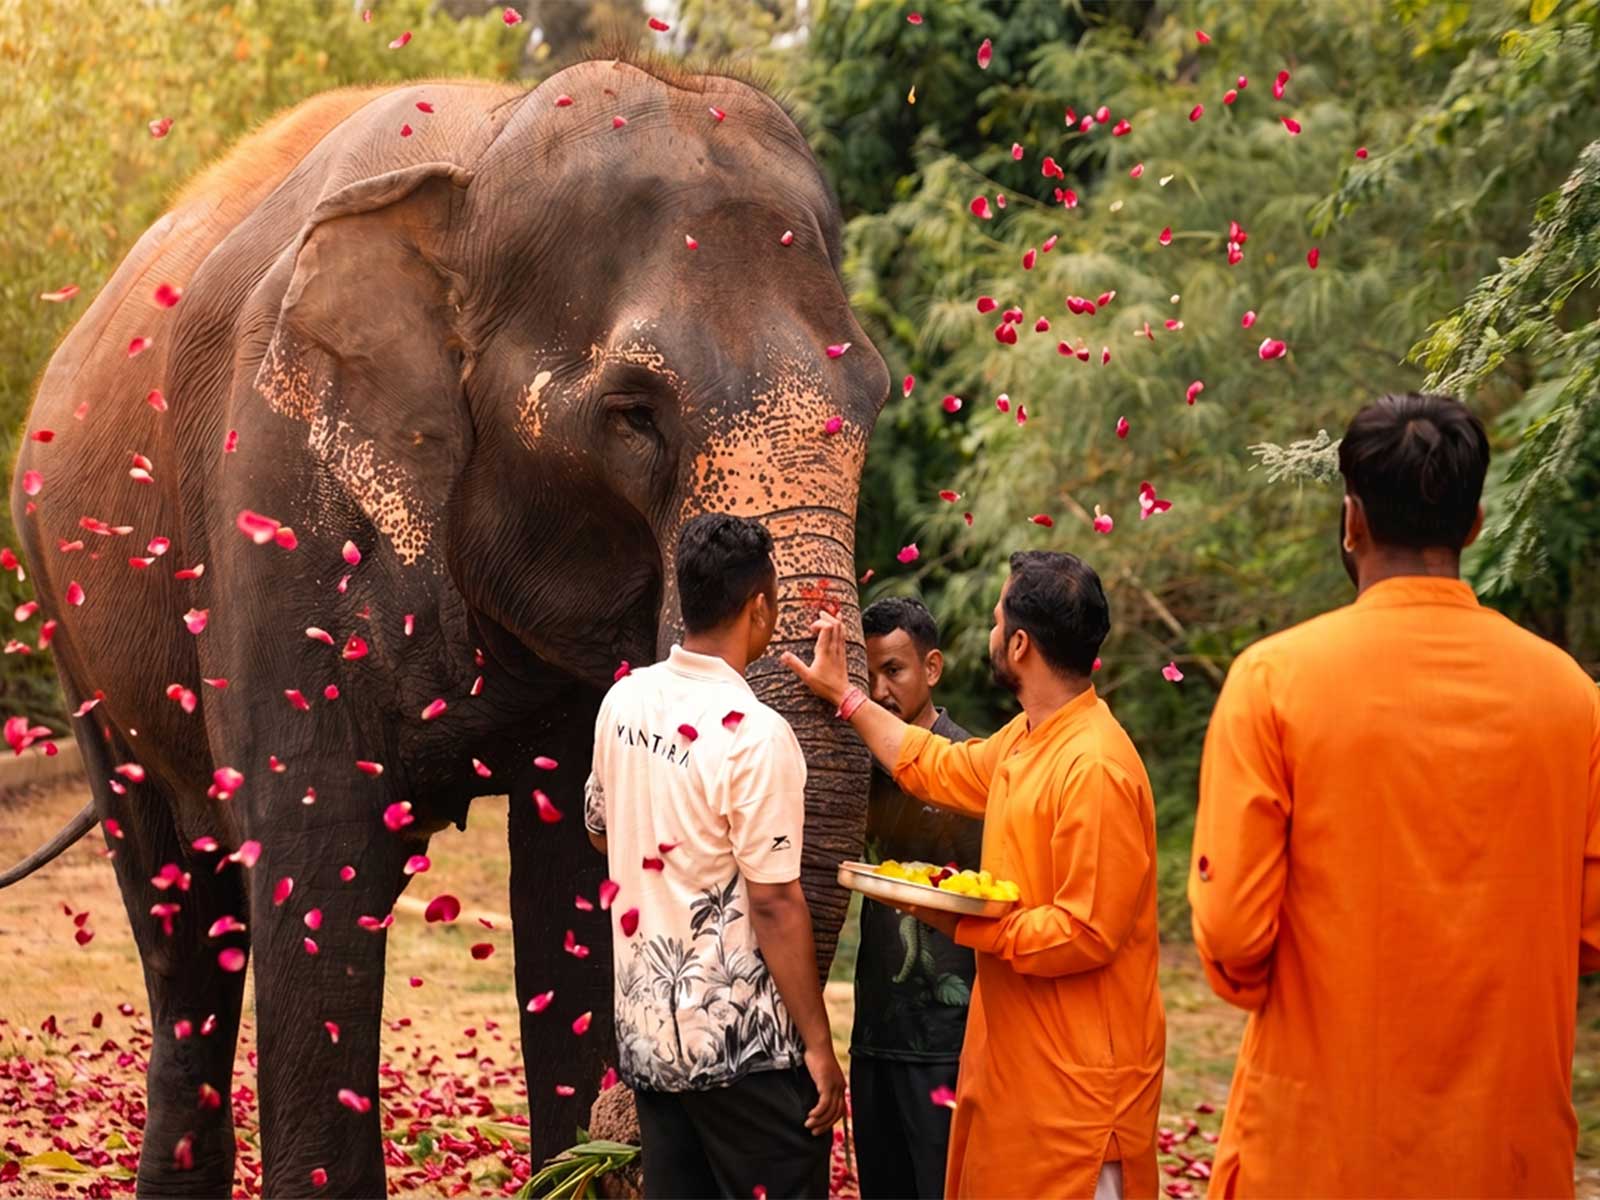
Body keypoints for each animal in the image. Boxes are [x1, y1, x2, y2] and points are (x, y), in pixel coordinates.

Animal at [2, 55, 888, 1197]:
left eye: (873, 398)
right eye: (632, 414)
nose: (626, 1137)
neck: (480, 157)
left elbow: (569, 875)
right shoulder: (269, 495)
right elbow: (319, 859)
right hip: (74, 633)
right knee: (178, 916)